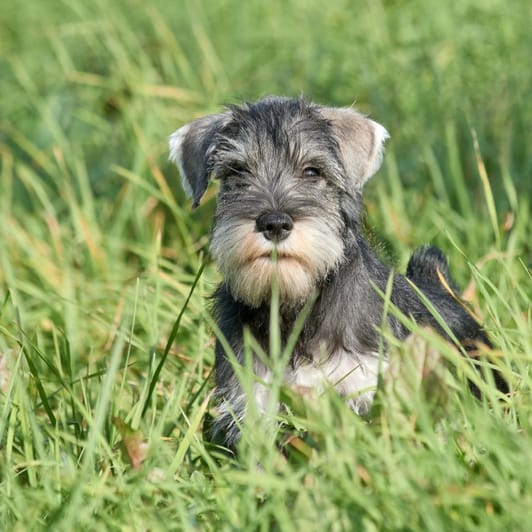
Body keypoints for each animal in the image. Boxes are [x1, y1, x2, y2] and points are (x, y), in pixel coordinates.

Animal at [169, 95, 508, 448]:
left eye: (312, 171)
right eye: (237, 171)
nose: (274, 223)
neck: (298, 306)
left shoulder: (364, 388)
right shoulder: (252, 401)